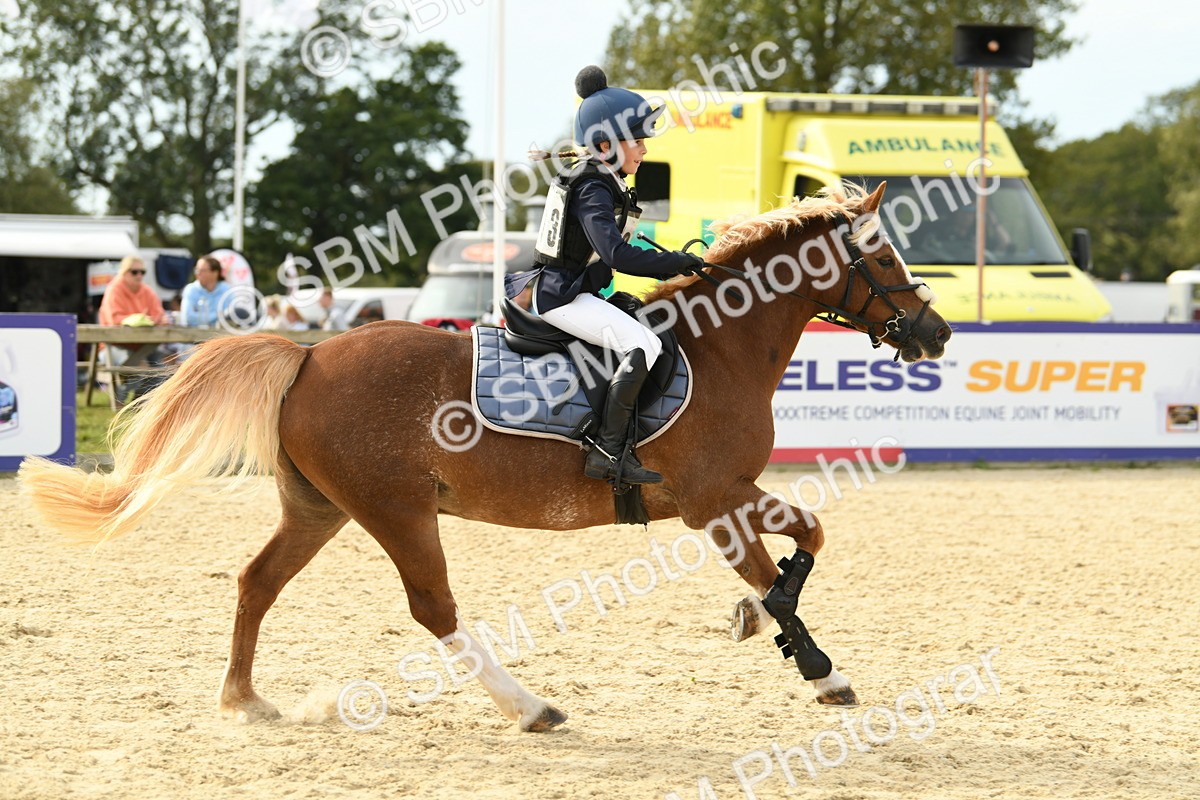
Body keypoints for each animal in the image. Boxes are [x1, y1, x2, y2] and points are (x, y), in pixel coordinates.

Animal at [20, 182, 950, 732]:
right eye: (881, 255)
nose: (937, 332)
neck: (721, 345)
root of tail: (310, 355)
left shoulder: (729, 494)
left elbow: (802, 540)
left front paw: (762, 622)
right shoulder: (709, 498)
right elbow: (787, 558)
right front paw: (815, 665)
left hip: (320, 508)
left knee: (257, 582)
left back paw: (246, 701)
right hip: (396, 510)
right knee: (433, 607)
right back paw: (530, 705)